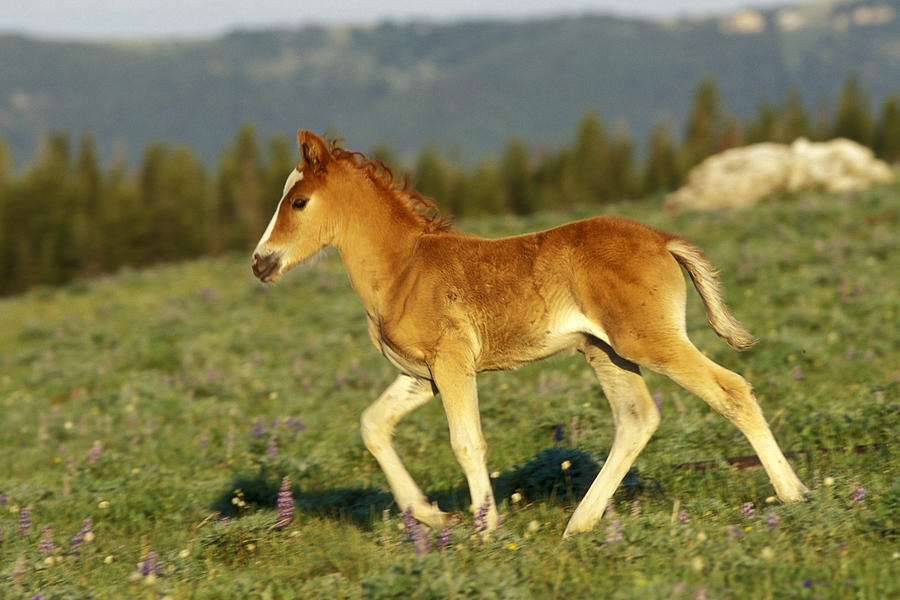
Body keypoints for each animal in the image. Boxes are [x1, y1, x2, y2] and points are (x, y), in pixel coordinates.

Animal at [253, 130, 808, 536]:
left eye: (298, 201)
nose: (260, 263)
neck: (404, 268)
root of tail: (662, 240)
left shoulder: (452, 362)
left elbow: (466, 441)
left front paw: (485, 528)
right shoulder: (423, 374)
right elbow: (373, 425)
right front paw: (433, 515)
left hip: (648, 341)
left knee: (731, 390)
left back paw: (793, 495)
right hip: (605, 351)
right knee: (637, 419)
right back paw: (578, 525)